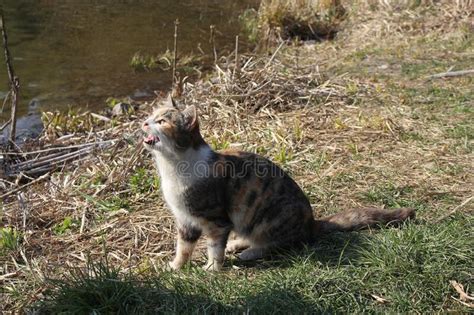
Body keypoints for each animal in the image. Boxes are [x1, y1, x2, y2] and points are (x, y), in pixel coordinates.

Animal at [142, 96, 414, 272]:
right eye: (151, 116)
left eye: (162, 121)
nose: (144, 122)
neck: (172, 167)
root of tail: (310, 222)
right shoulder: (185, 220)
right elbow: (183, 247)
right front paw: (175, 266)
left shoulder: (217, 220)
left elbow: (214, 247)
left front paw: (211, 268)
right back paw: (238, 243)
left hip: (269, 217)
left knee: (278, 244)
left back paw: (249, 252)